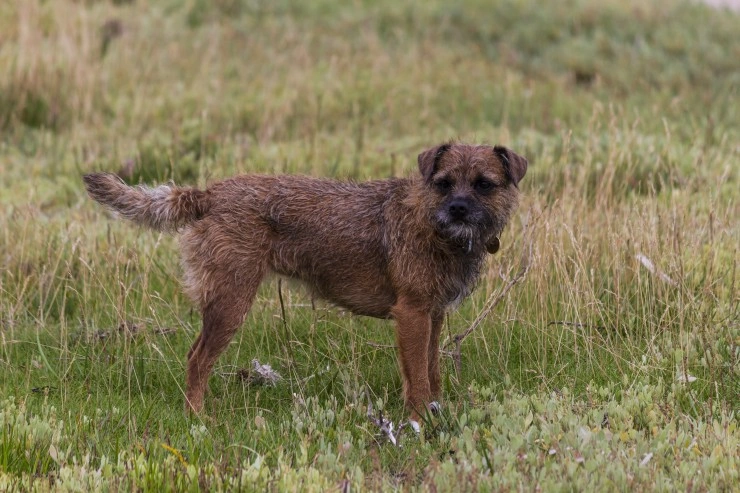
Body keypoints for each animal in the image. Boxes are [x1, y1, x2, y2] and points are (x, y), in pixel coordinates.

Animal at [82, 142, 528, 418]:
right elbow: (417, 376)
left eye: (483, 185)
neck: (432, 222)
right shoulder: (413, 315)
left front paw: (436, 412)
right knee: (196, 360)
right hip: (230, 302)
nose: (458, 209)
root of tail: (209, 194)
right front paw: (420, 422)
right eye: (445, 183)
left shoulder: (433, 316)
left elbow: (432, 370)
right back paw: (198, 418)